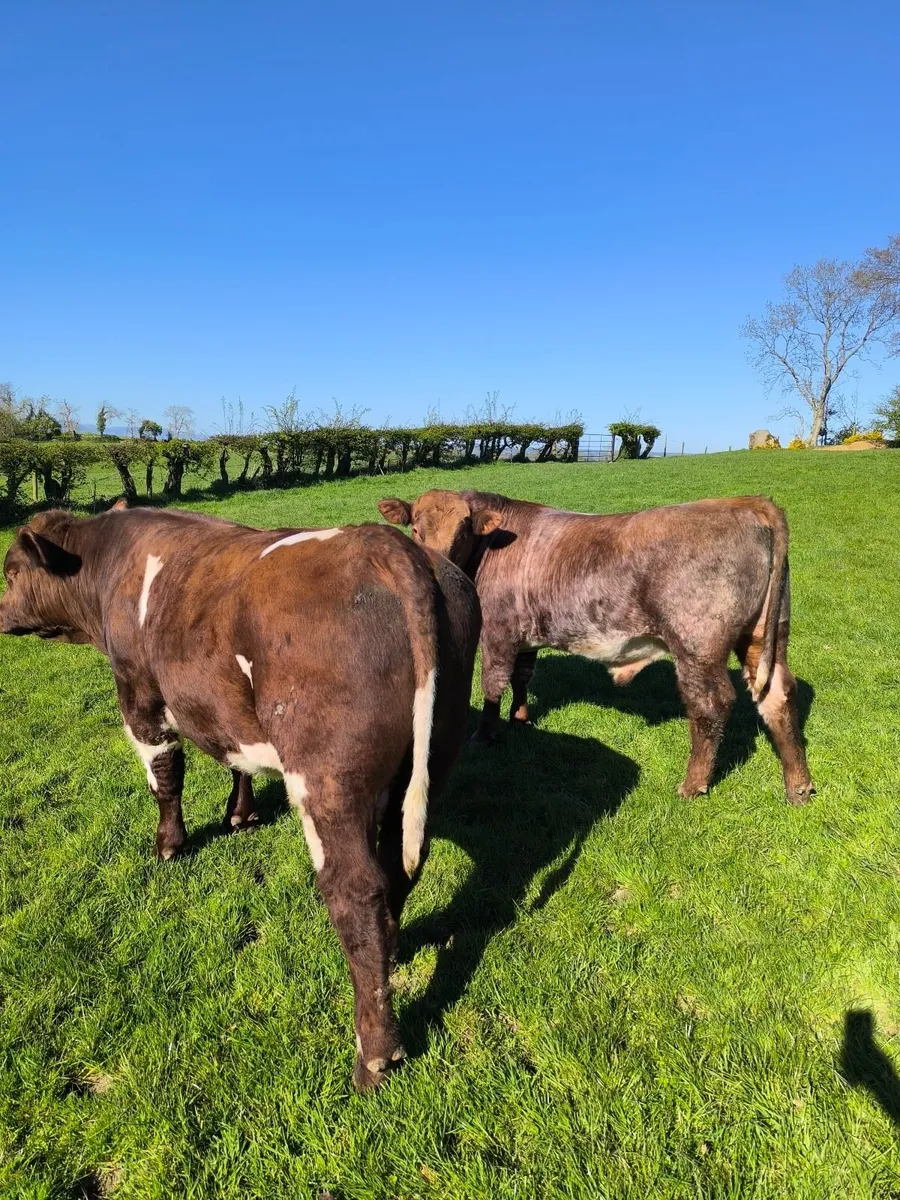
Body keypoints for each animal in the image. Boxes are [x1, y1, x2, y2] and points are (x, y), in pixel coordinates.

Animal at [0, 504, 480, 1090]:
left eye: (11, 571)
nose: (0, 615)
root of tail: (388, 544)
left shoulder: (139, 693)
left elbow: (166, 774)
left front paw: (170, 844)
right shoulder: (217, 704)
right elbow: (234, 758)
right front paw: (241, 814)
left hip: (328, 778)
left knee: (356, 893)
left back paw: (375, 1054)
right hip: (428, 757)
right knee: (399, 867)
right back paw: (395, 949)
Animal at [378, 488, 814, 805]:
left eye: (464, 530)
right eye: (415, 529)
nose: (439, 565)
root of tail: (743, 503)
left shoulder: (498, 632)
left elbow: (492, 687)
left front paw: (485, 736)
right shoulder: (525, 635)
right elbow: (521, 678)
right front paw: (520, 719)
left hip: (697, 645)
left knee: (711, 706)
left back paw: (692, 785)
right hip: (765, 634)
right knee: (778, 695)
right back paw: (798, 786)